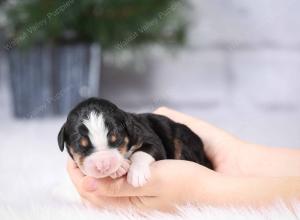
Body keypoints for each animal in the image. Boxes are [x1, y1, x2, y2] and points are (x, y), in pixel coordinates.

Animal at [58, 98, 213, 187]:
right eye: (81, 146)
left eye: (116, 139)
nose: (103, 165)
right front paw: (119, 167)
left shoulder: (150, 138)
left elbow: (141, 152)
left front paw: (137, 174)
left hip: (183, 140)